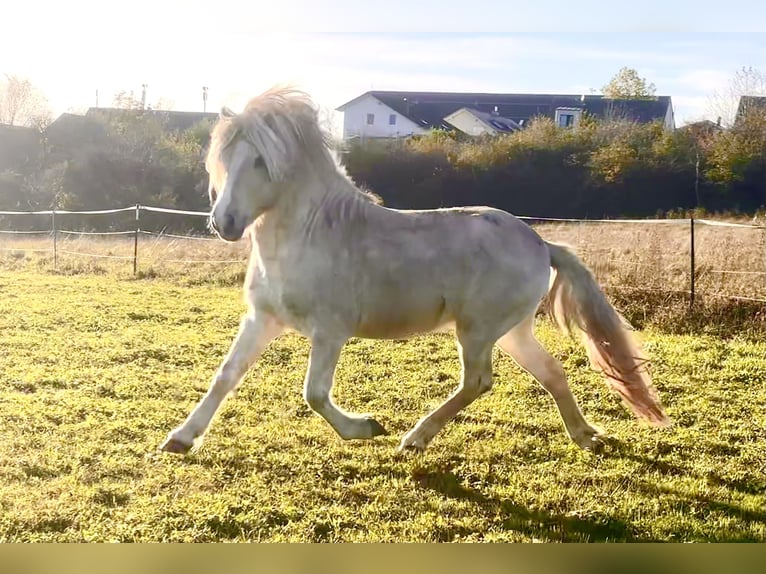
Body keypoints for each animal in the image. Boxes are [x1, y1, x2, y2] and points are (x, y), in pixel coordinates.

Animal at [160, 88, 672, 456]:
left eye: (261, 161)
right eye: (222, 159)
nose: (224, 223)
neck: (309, 234)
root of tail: (542, 244)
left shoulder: (330, 331)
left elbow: (315, 394)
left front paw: (366, 428)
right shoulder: (262, 319)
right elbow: (225, 375)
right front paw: (180, 439)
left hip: (478, 330)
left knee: (478, 382)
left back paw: (415, 437)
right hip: (512, 332)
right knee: (552, 372)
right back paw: (586, 436)